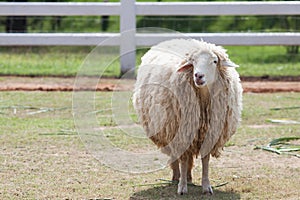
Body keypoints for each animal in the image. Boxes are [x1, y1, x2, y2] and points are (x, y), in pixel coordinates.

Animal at [132, 38, 243, 195]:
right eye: (193, 62)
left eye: (215, 61)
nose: (198, 76)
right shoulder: (182, 133)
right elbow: (183, 161)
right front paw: (182, 187)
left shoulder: (209, 134)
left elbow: (205, 161)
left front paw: (206, 186)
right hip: (171, 130)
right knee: (175, 157)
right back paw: (176, 177)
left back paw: (189, 177)